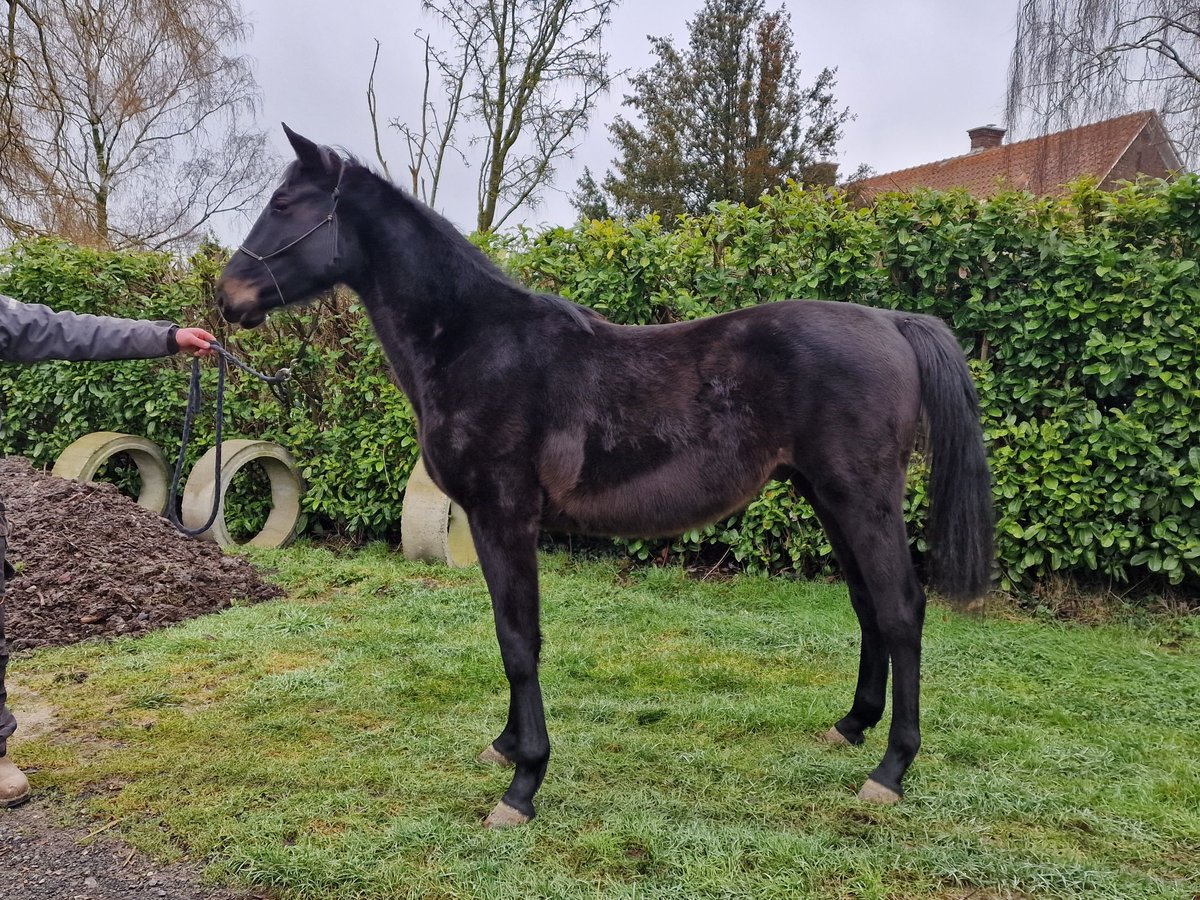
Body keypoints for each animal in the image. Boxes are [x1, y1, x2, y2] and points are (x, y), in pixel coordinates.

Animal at [216, 127, 993, 830]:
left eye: (284, 203)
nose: (227, 296)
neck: (479, 343)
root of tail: (891, 321)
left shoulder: (505, 516)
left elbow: (518, 640)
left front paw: (523, 785)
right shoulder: (489, 523)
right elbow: (511, 633)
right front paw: (507, 747)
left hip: (861, 497)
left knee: (900, 609)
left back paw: (890, 771)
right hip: (827, 496)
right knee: (868, 606)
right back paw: (852, 726)